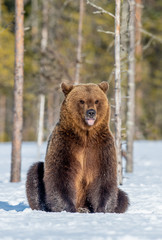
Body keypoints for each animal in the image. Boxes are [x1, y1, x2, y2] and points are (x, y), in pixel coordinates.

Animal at [26, 81, 129, 213]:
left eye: (96, 100)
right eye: (81, 101)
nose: (91, 112)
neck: (86, 135)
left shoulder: (101, 147)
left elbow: (104, 176)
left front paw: (102, 208)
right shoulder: (65, 144)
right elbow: (60, 174)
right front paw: (68, 207)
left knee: (122, 196)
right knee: (35, 172)